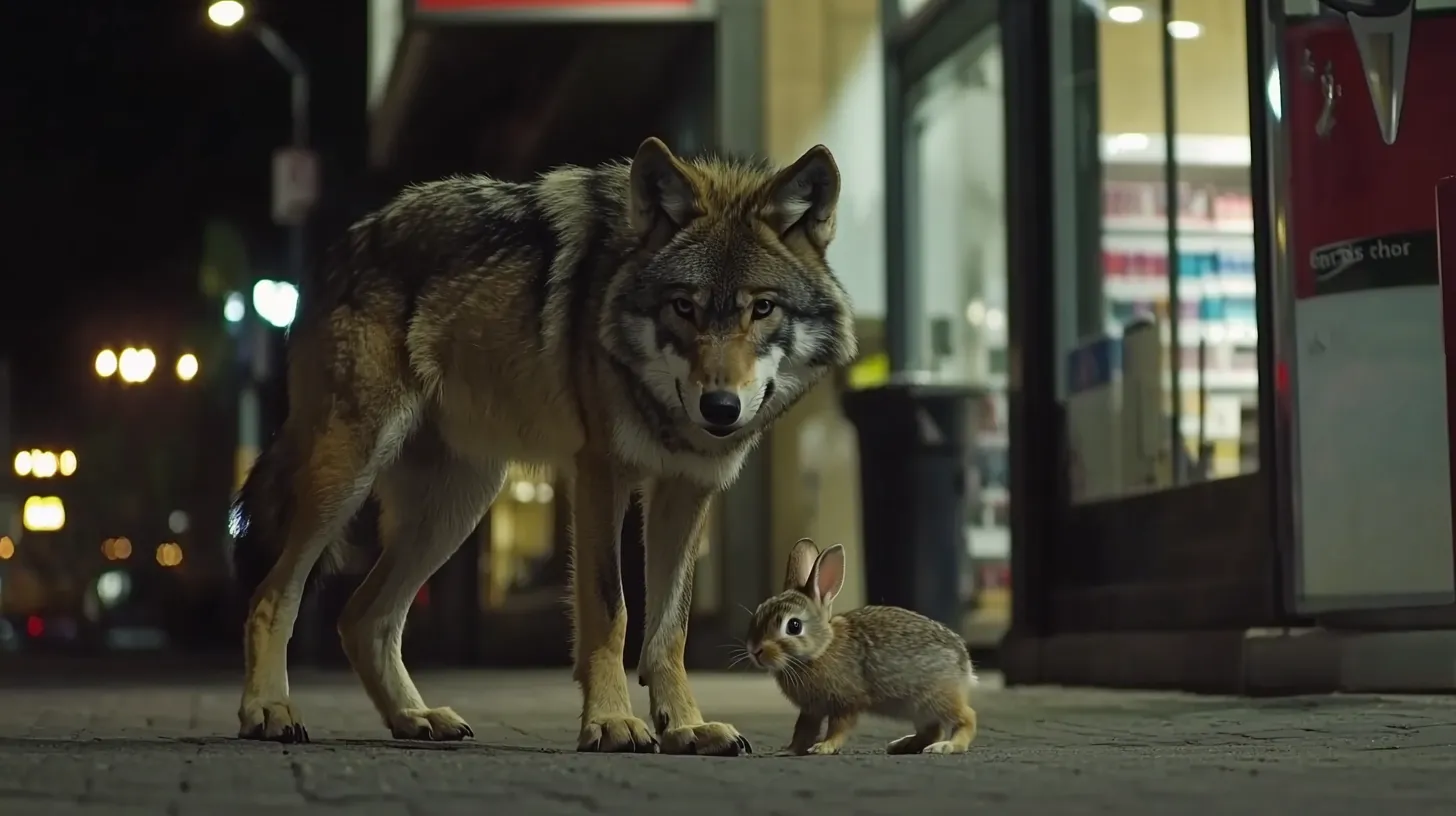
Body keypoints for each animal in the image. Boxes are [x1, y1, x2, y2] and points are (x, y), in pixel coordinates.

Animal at [229, 137, 857, 756]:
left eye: (763, 308)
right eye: (684, 306)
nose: (720, 408)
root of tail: (344, 244)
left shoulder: (687, 488)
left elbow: (669, 631)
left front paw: (684, 727)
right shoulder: (601, 474)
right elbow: (611, 611)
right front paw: (611, 722)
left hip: (457, 506)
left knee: (363, 618)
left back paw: (415, 718)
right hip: (350, 472)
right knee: (271, 595)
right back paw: (269, 710)